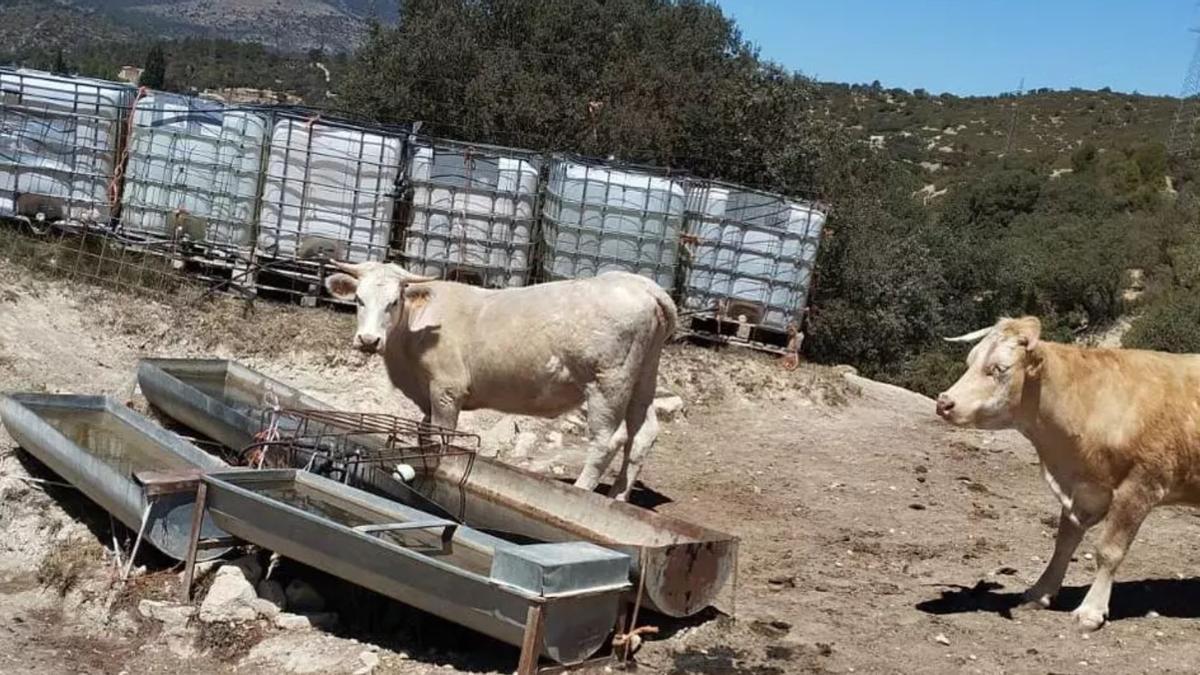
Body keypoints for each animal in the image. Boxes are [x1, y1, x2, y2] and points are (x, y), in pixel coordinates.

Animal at [324, 261, 681, 499]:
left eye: (394, 301)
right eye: (358, 299)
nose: (368, 340)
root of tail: (642, 286)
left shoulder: (446, 389)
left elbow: (441, 436)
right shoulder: (428, 395)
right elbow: (425, 434)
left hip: (608, 382)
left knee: (608, 439)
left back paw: (582, 491)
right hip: (643, 375)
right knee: (643, 434)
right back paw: (617, 496)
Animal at [936, 317, 1200, 629]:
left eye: (998, 368)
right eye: (970, 361)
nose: (944, 402)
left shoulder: (1140, 486)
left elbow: (1109, 550)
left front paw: (1091, 610)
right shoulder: (1084, 489)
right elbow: (1064, 544)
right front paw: (1040, 593)